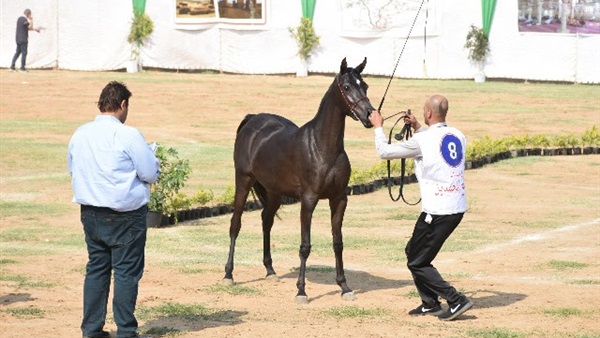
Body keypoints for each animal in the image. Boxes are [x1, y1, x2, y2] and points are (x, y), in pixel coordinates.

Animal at [225, 58, 376, 304]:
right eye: (346, 87)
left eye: (365, 86)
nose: (369, 115)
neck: (323, 147)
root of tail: (252, 119)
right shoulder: (309, 200)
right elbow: (305, 245)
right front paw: (301, 291)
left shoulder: (339, 199)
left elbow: (338, 242)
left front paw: (344, 287)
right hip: (243, 180)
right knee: (235, 224)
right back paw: (228, 274)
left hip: (275, 192)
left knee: (266, 220)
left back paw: (270, 271)